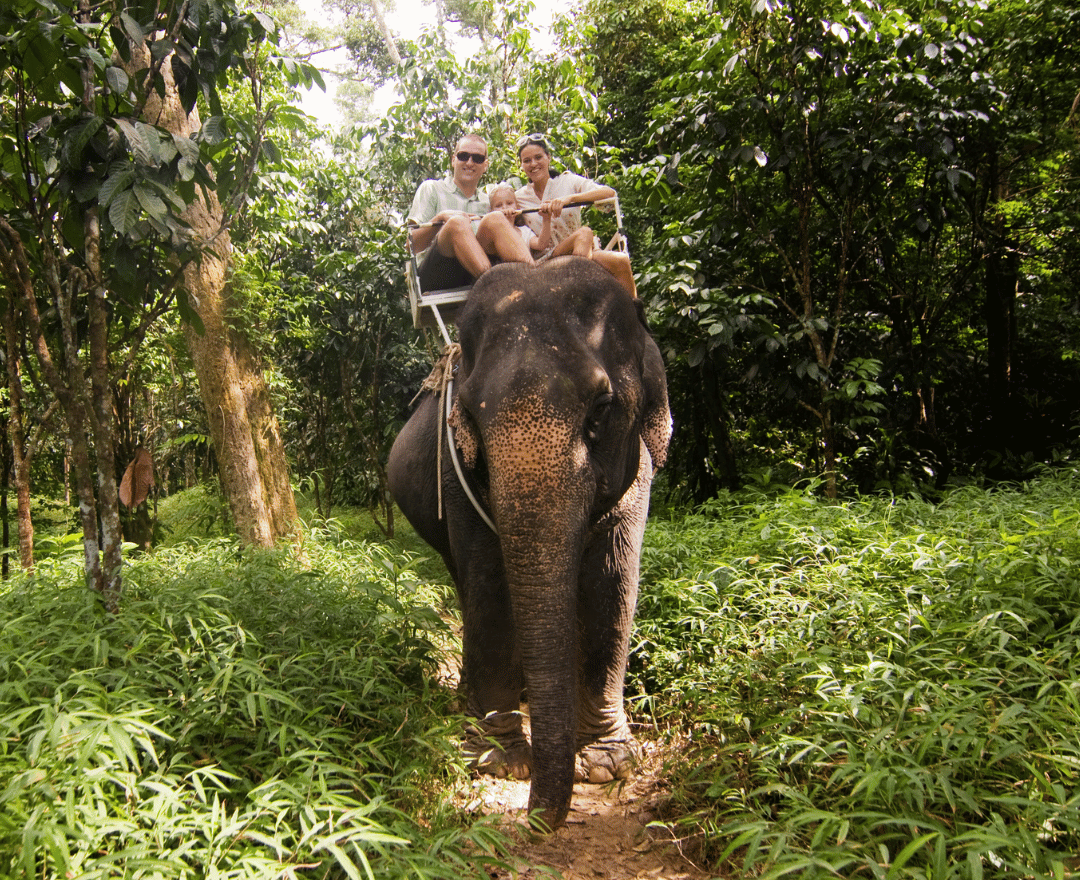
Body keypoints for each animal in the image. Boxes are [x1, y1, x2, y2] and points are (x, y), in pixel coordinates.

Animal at [387, 256, 671, 831]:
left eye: (602, 408)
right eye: (470, 414)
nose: (537, 822)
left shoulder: (639, 471)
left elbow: (612, 585)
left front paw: (604, 764)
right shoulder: (456, 470)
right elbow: (492, 587)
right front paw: (499, 760)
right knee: (465, 583)